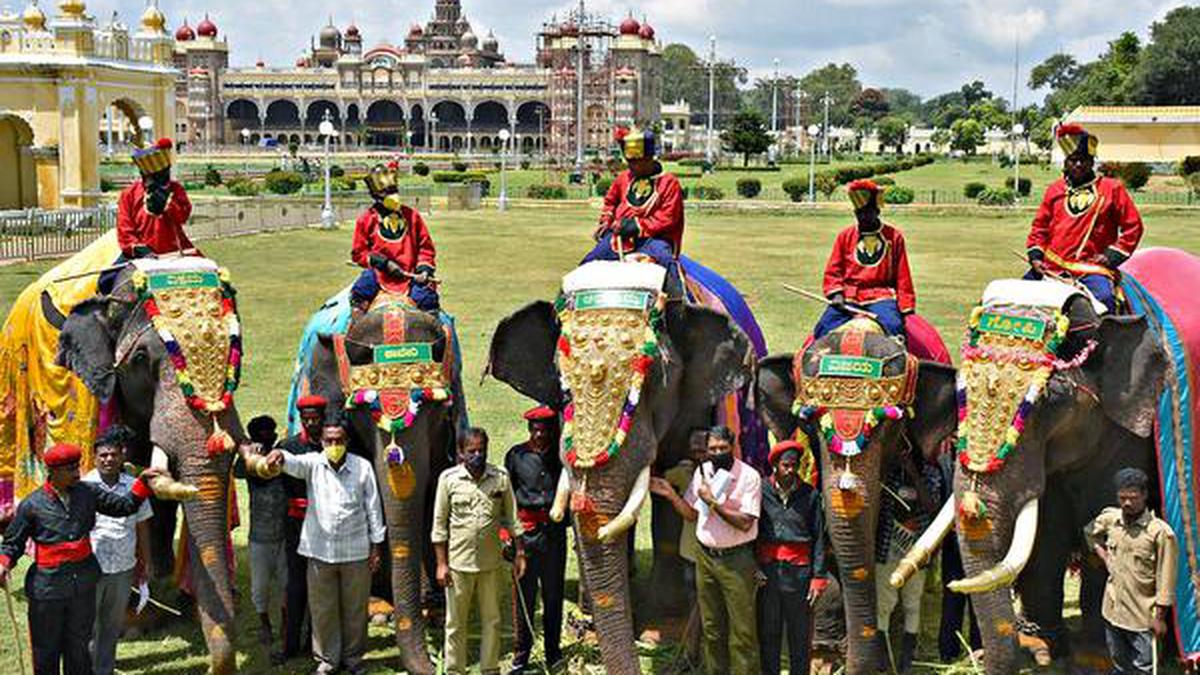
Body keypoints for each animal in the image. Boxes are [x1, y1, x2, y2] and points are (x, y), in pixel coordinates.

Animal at [302, 299, 460, 672]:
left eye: (440, 409)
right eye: (358, 414)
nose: (435, 665)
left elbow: (432, 497)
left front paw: (435, 607)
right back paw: (377, 610)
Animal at [892, 275, 1180, 672]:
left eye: (1052, 399)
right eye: (960, 392)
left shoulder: (1129, 431)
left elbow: (1104, 524)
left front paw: (1094, 659)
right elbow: (1045, 536)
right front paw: (1038, 649)